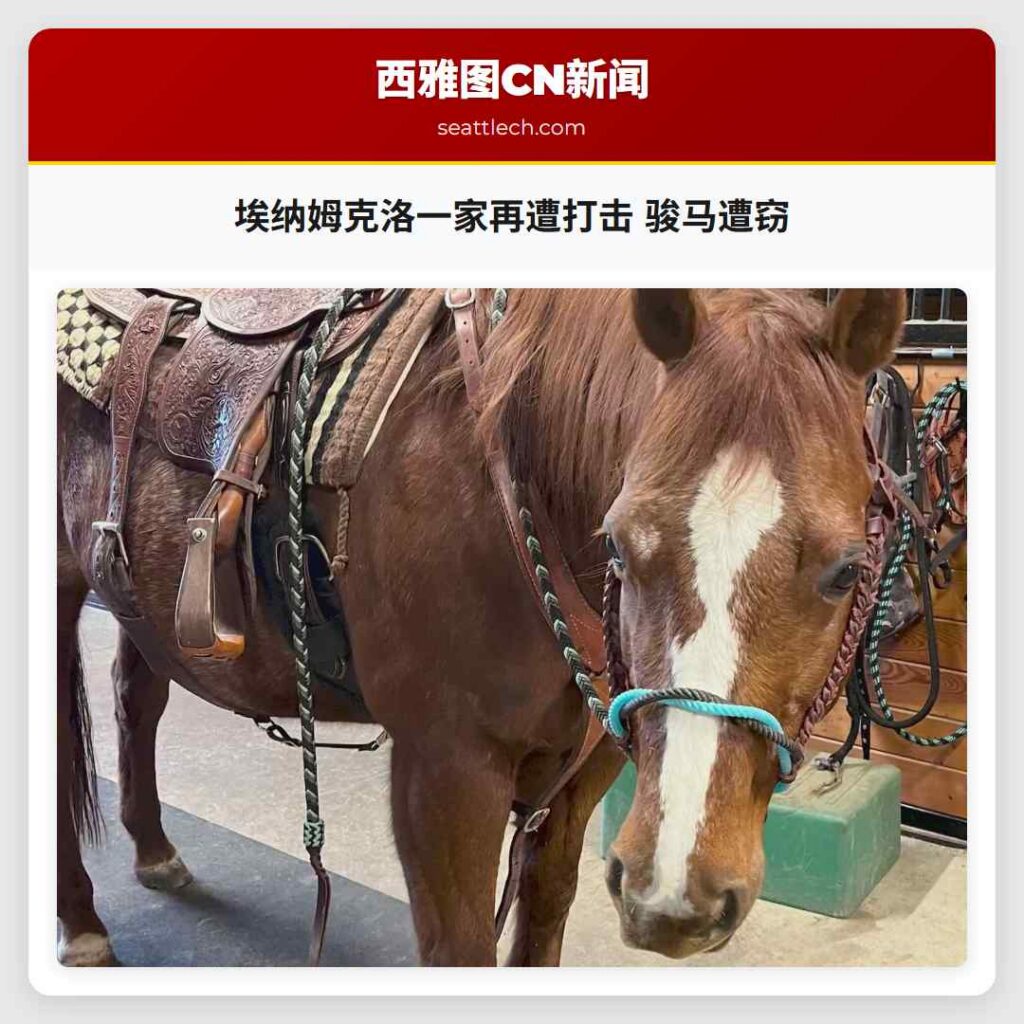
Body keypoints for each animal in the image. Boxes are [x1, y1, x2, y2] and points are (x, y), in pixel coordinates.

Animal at [56, 287, 905, 966]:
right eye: (618, 544)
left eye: (846, 571)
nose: (675, 893)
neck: (510, 485)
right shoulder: (446, 774)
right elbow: (460, 946)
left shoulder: (585, 769)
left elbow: (544, 916)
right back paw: (83, 924)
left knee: (135, 698)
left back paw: (155, 852)